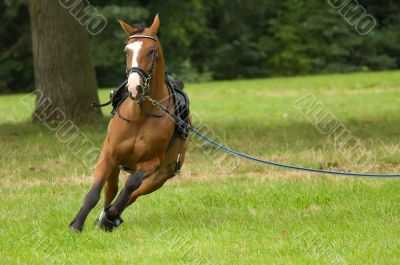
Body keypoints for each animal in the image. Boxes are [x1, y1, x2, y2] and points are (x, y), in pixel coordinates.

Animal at [68, 13, 190, 231]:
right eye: (127, 51)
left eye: (151, 51)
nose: (134, 87)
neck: (141, 115)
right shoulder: (109, 155)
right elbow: (95, 192)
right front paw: (77, 224)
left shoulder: (151, 163)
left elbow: (131, 185)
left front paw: (112, 214)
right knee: (111, 189)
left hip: (160, 176)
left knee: (134, 193)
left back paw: (111, 217)